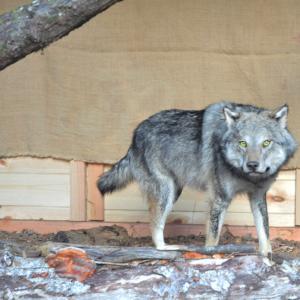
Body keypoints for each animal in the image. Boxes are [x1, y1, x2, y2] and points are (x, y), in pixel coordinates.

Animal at [97, 101, 296, 255]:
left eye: (266, 142)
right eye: (243, 143)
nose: (252, 165)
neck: (246, 176)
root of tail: (136, 133)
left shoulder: (258, 197)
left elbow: (265, 233)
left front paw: (267, 257)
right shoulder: (219, 199)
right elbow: (213, 238)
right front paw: (213, 255)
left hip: (174, 191)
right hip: (167, 194)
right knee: (155, 224)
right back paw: (167, 248)